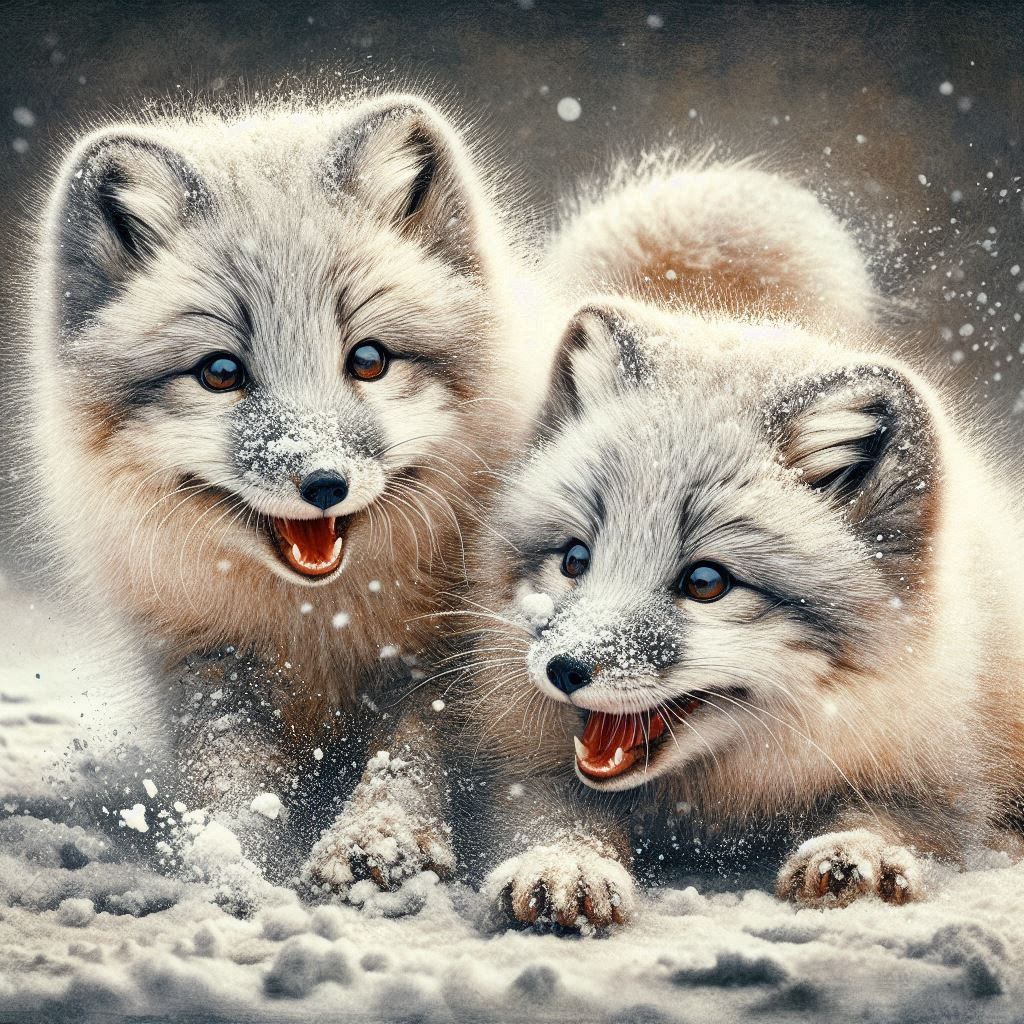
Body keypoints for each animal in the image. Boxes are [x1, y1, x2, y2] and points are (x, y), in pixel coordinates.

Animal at [24, 90, 551, 890]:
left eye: (369, 359)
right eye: (219, 372)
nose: (323, 482)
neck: (319, 627)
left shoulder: (440, 661)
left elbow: (407, 757)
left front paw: (379, 838)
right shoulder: (207, 668)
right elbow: (230, 780)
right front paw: (230, 858)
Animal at [455, 163, 1024, 931]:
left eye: (706, 582)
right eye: (575, 560)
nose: (564, 669)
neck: (715, 807)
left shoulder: (941, 769)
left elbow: (902, 818)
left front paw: (856, 854)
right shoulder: (525, 765)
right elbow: (548, 814)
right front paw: (563, 865)